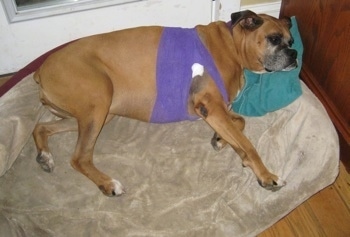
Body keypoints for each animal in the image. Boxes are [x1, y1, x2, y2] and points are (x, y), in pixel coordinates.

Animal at [32, 10, 296, 196]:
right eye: (274, 39)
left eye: (291, 41)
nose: (294, 54)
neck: (231, 44)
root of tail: (40, 71)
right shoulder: (211, 107)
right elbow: (248, 144)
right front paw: (266, 176)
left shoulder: (217, 111)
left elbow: (239, 123)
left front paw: (222, 140)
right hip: (99, 101)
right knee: (79, 158)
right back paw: (108, 184)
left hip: (98, 113)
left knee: (41, 127)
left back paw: (45, 156)